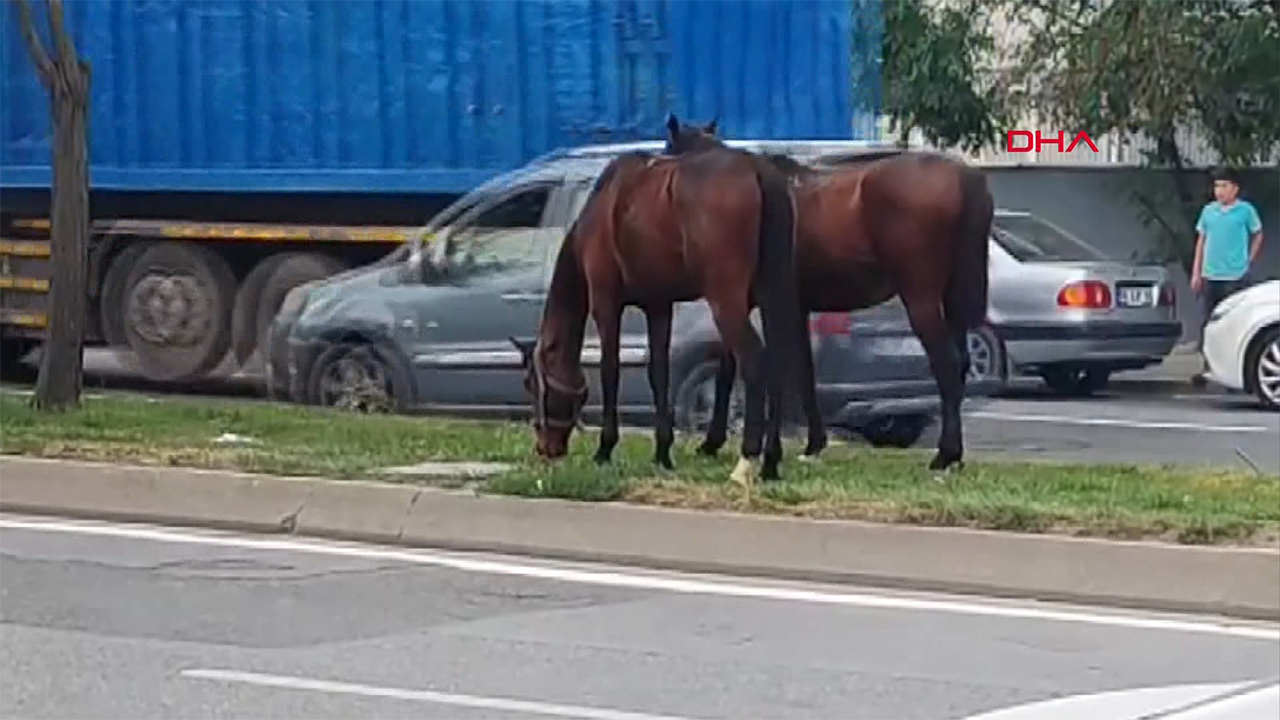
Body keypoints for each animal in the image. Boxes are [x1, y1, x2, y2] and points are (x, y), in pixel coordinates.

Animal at [506, 112, 798, 481]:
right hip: (773, 294)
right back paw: (770, 461)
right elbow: (658, 373)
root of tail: (759, 173)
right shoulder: (659, 306)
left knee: (754, 361)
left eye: (530, 383)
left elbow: (611, 369)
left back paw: (746, 461)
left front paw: (605, 448)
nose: (546, 448)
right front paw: (662, 452)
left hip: (726, 299)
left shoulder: (605, 300)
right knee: (777, 361)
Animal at [665, 121, 993, 474]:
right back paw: (954, 455)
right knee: (960, 363)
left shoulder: (765, 305)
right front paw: (811, 444)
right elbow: (785, 370)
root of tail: (964, 178)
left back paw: (944, 454)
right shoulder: (786, 307)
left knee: (946, 362)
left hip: (922, 299)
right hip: (952, 302)